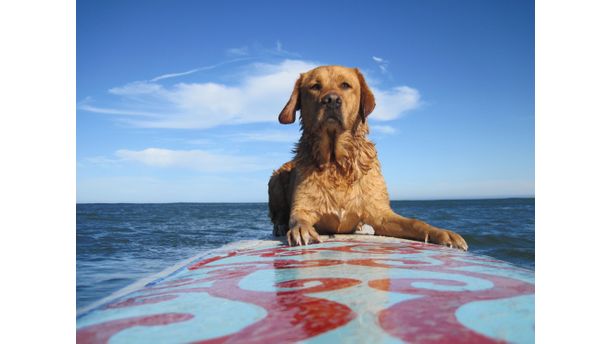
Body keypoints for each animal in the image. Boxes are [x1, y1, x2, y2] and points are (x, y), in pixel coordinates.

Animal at [268, 66, 468, 251]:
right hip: (276, 179)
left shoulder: (381, 215)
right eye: (315, 86)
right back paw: (280, 225)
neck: (336, 162)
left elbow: (415, 222)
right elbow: (298, 218)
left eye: (345, 85)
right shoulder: (304, 207)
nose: (331, 100)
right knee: (279, 215)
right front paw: (301, 229)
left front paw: (442, 233)